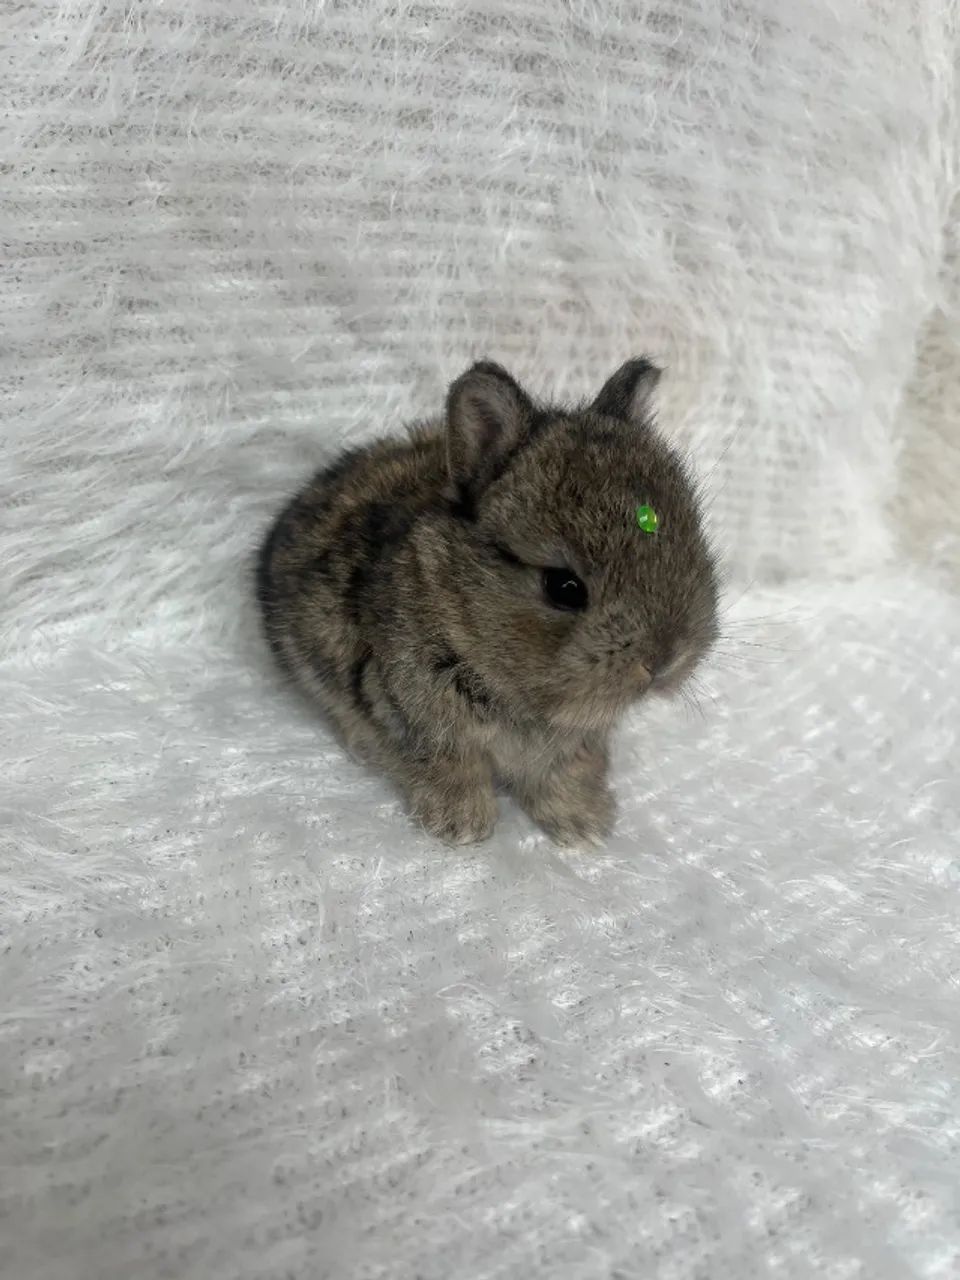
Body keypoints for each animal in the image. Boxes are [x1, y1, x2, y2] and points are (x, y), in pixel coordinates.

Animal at [256, 358, 719, 846]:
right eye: (563, 587)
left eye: (692, 546)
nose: (664, 662)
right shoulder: (420, 721)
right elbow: (451, 767)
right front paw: (462, 827)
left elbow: (565, 774)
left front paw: (584, 826)